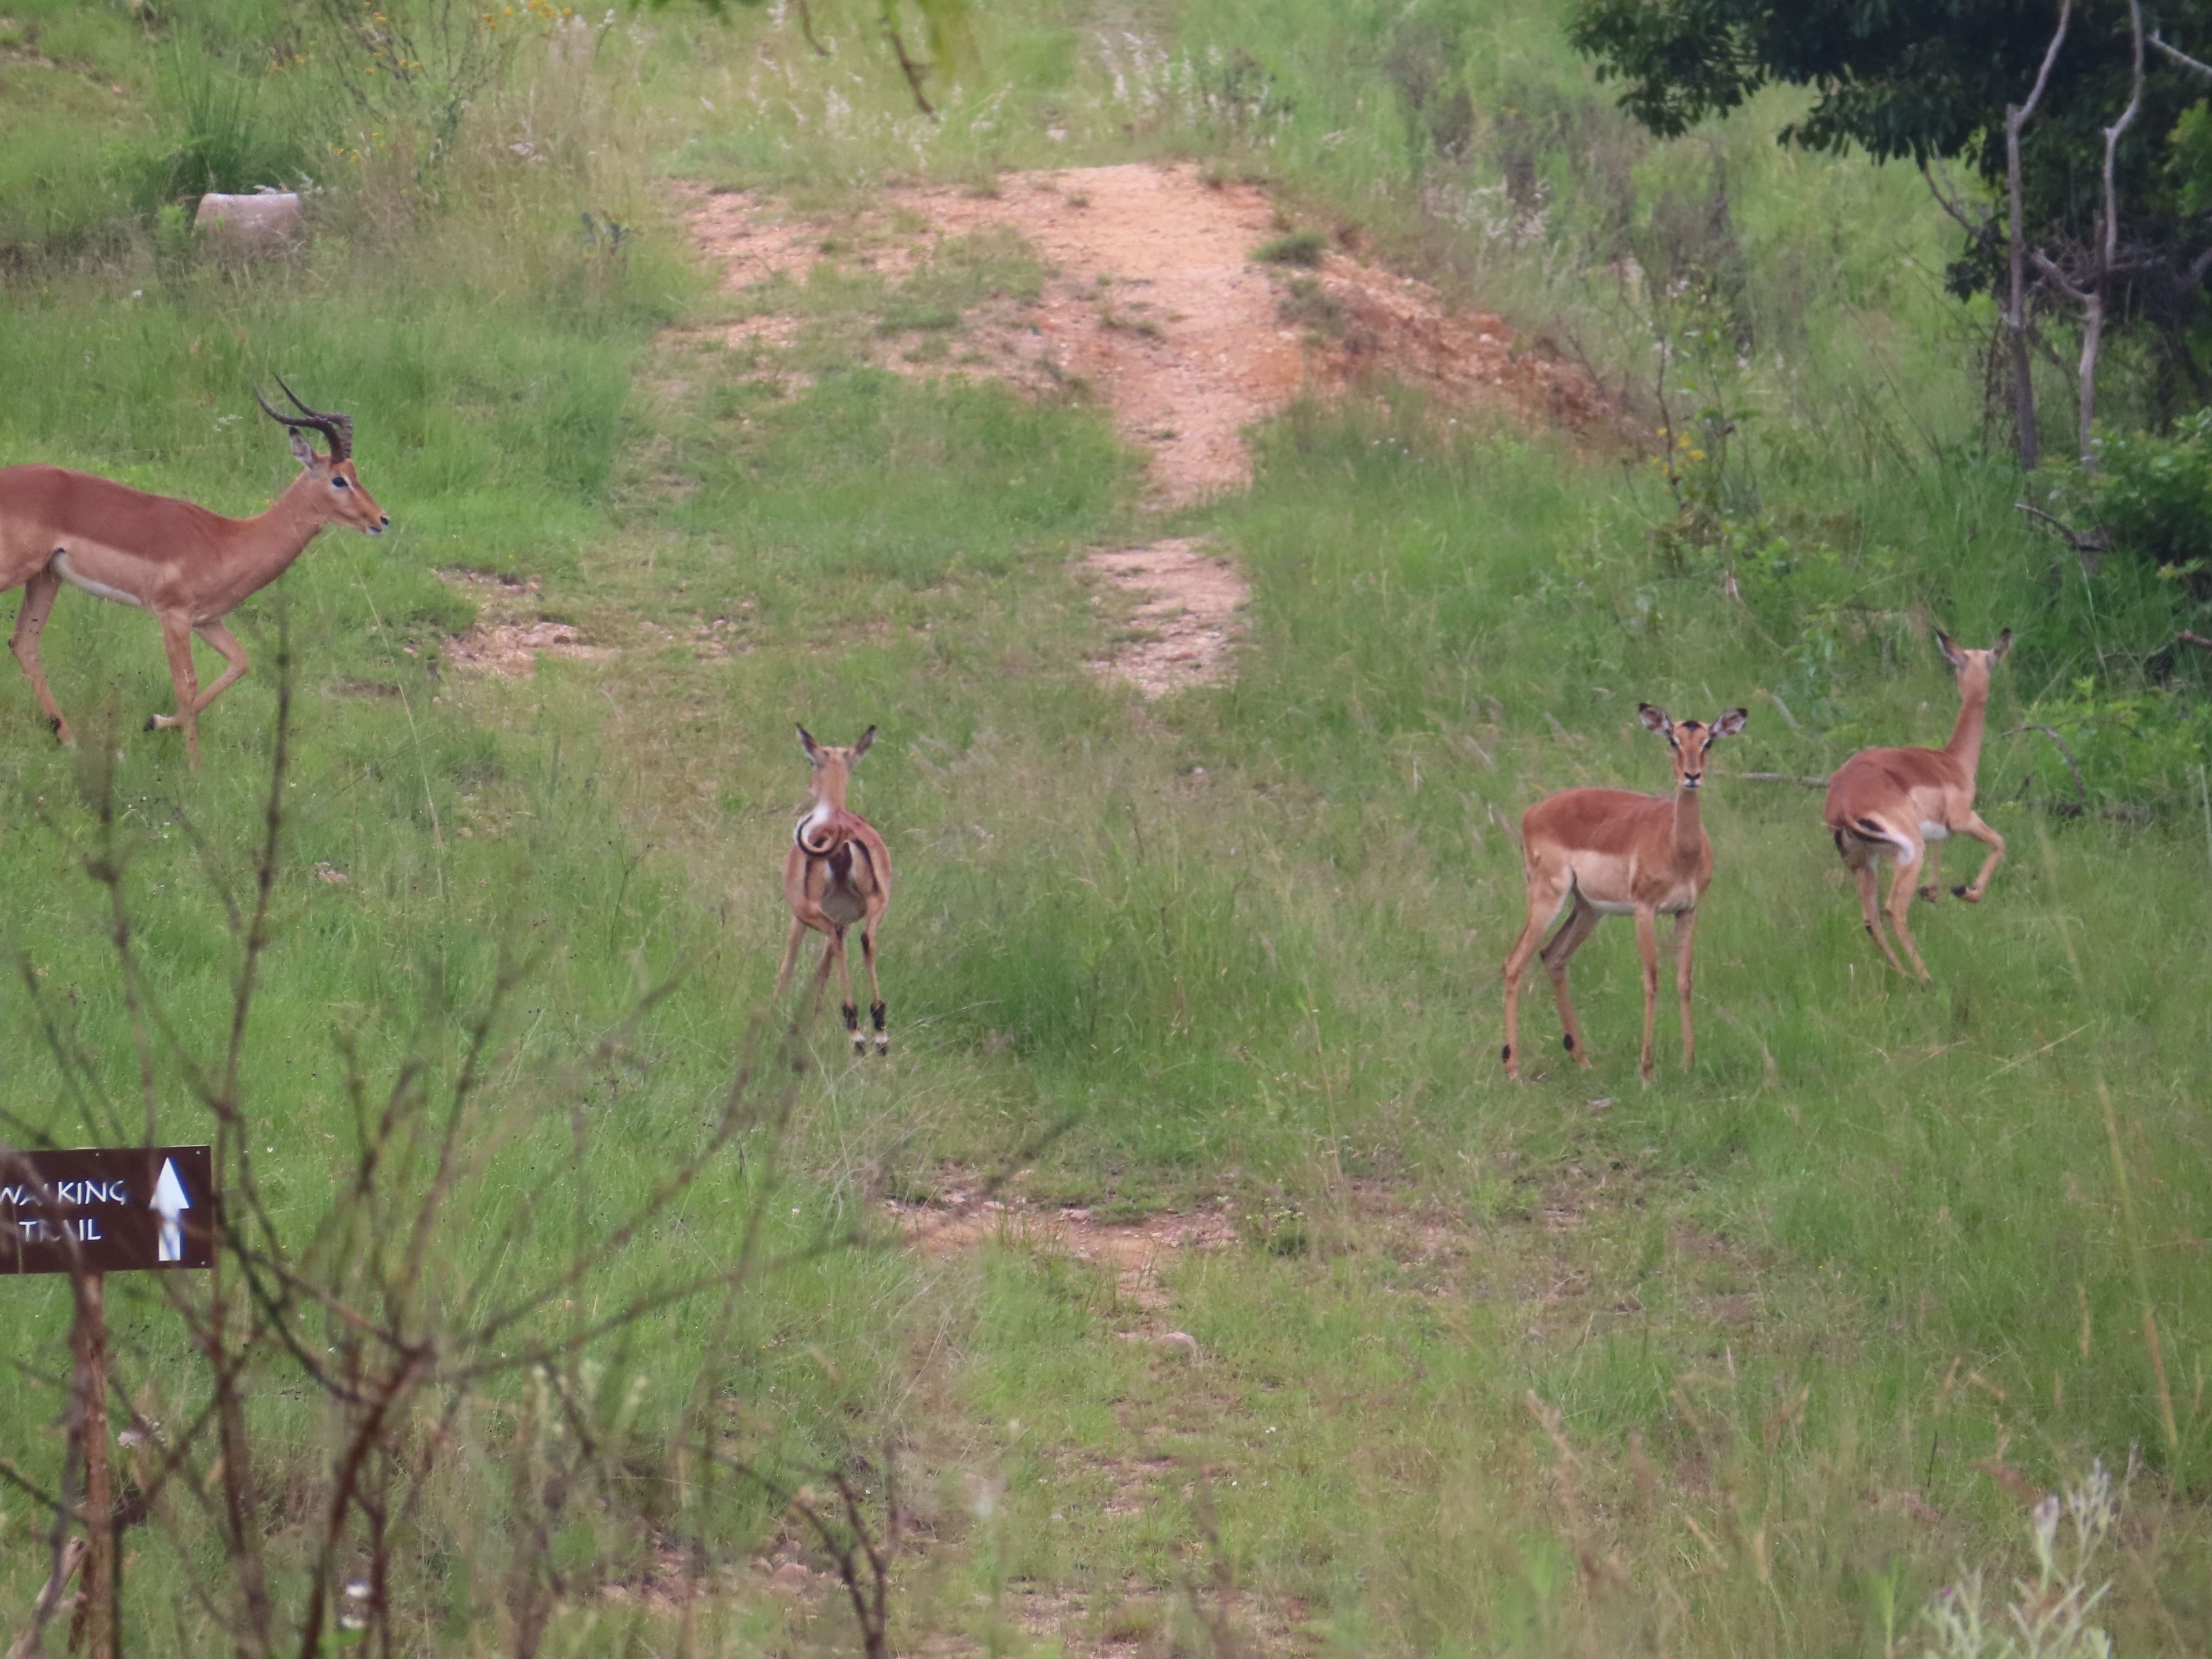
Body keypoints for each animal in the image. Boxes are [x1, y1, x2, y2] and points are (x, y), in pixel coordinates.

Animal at [0, 378, 388, 768]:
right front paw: (194, 767)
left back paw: (69, 740)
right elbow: (186, 682)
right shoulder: (174, 617)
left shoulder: (207, 621)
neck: (230, 540)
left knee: (25, 645)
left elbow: (240, 663)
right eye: (339, 480)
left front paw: (155, 722)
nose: (382, 519)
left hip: (46, 576)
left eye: (356, 474)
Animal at [775, 725, 893, 1056]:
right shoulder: (845, 918)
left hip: (813, 912)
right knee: (866, 941)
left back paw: (856, 1030)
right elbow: (825, 966)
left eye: (811, 761)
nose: (809, 788)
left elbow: (790, 963)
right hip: (875, 906)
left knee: (837, 944)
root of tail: (842, 836)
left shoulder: (800, 917)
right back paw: (879, 1031)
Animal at [1502, 705, 1748, 1086]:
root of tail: (1531, 813)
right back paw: (1513, 1068)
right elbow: (1652, 981)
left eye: (1708, 741)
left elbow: (1684, 981)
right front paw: (1646, 1071)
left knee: (1553, 956)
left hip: (1588, 909)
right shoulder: (1645, 909)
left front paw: (1689, 1064)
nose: (1692, 776)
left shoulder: (1688, 911)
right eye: (1673, 740)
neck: (1678, 850)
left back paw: (1583, 1060)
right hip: (1548, 897)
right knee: (1515, 963)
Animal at [1824, 630, 2011, 981]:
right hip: (1908, 852)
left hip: (1863, 864)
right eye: (1991, 658)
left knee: (1871, 919)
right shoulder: (1963, 819)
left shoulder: (1937, 833)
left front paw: (1935, 891)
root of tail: (1840, 805)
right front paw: (1966, 891)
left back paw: (1905, 976)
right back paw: (1925, 978)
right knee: (1893, 910)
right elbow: (2000, 842)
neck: (1953, 762)